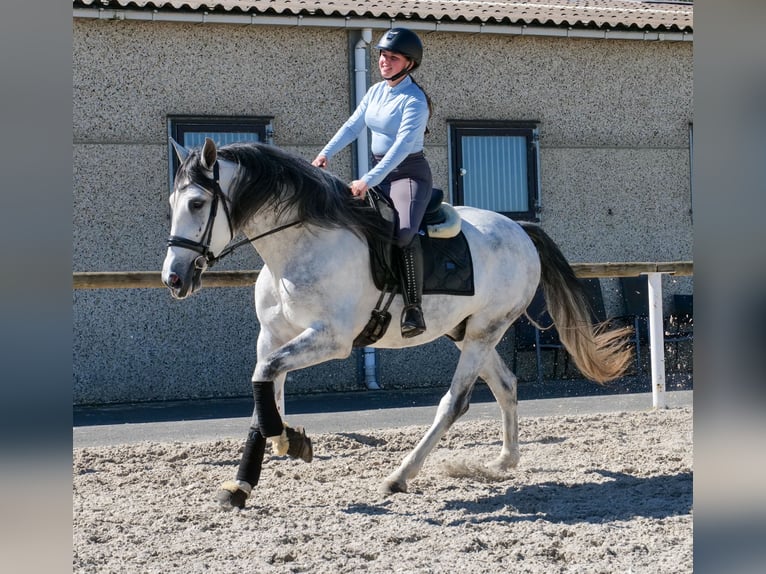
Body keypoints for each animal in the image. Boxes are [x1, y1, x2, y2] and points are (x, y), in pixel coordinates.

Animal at [161, 137, 633, 509]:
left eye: (198, 203)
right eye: (172, 205)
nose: (175, 278)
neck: (299, 246)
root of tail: (520, 229)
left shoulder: (331, 339)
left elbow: (266, 379)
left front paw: (287, 443)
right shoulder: (272, 336)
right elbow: (265, 392)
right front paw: (249, 476)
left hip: (484, 332)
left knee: (454, 403)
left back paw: (400, 476)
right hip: (467, 333)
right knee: (506, 385)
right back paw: (504, 460)